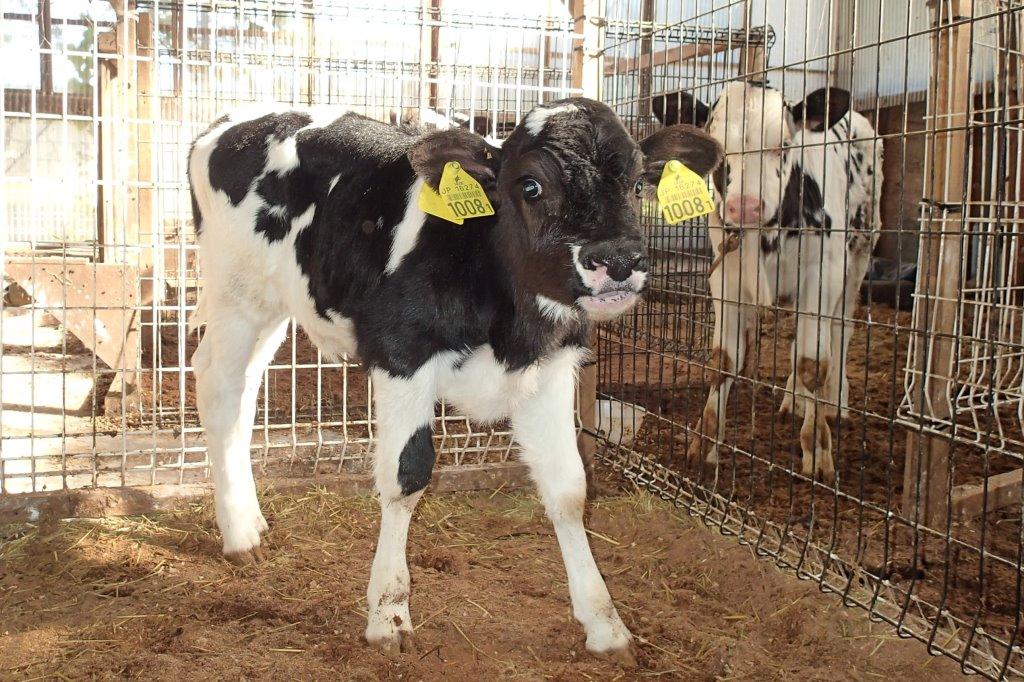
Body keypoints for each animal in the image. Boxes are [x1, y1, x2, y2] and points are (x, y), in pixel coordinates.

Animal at [190, 98, 720, 659]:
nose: (617, 261)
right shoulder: (401, 355)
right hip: (235, 294)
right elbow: (407, 477)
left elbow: (570, 489)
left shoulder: (551, 369)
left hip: (275, 307)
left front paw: (605, 624)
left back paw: (250, 516)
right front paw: (389, 615)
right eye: (530, 185)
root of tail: (232, 121)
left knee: (245, 391)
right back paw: (240, 535)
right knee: (219, 389)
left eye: (639, 183)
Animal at [659, 82, 884, 481]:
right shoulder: (726, 277)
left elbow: (813, 362)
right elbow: (724, 360)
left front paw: (818, 449)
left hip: (860, 250)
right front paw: (704, 443)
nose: (745, 206)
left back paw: (834, 403)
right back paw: (794, 398)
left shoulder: (825, 272)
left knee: (840, 329)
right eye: (718, 149)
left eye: (783, 144)